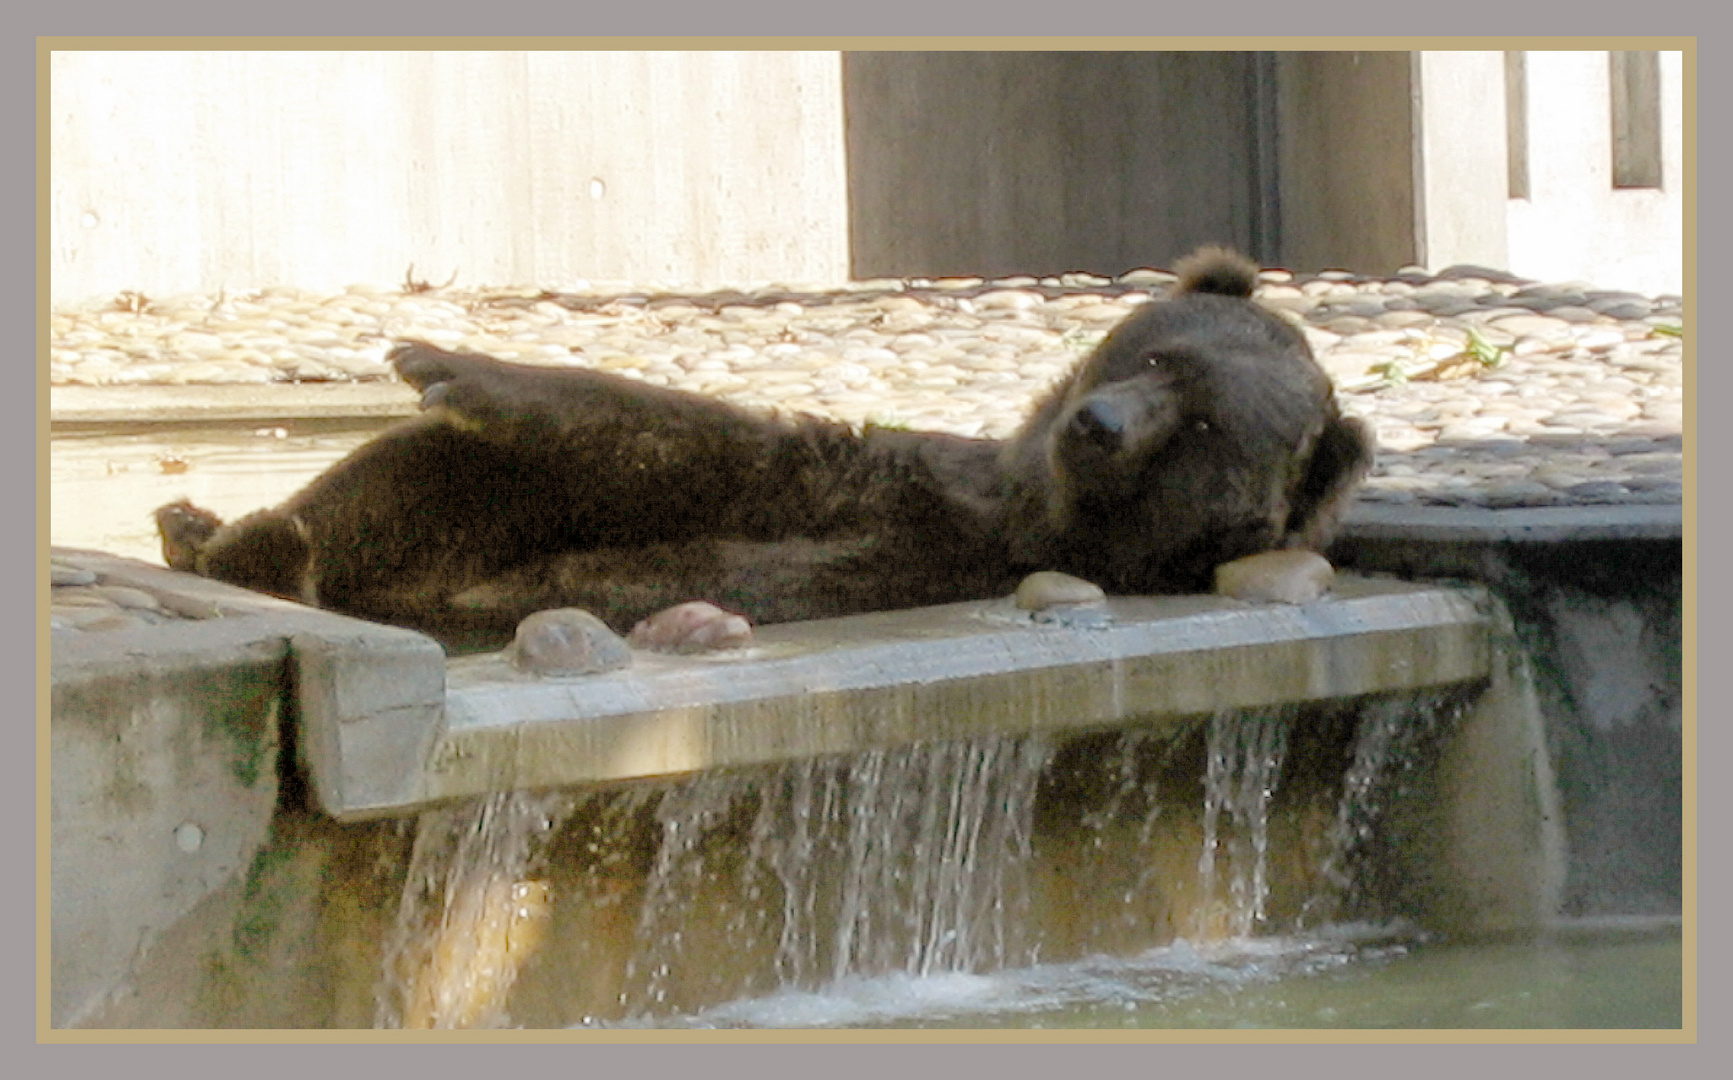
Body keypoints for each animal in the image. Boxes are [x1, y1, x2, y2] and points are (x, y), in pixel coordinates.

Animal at [155, 249, 1372, 655]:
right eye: (1160, 355)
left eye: (1205, 425)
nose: (1100, 424)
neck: (1033, 508)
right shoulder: (935, 482)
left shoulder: (907, 511)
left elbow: (711, 441)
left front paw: (441, 358)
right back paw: (203, 526)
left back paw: (252, 546)